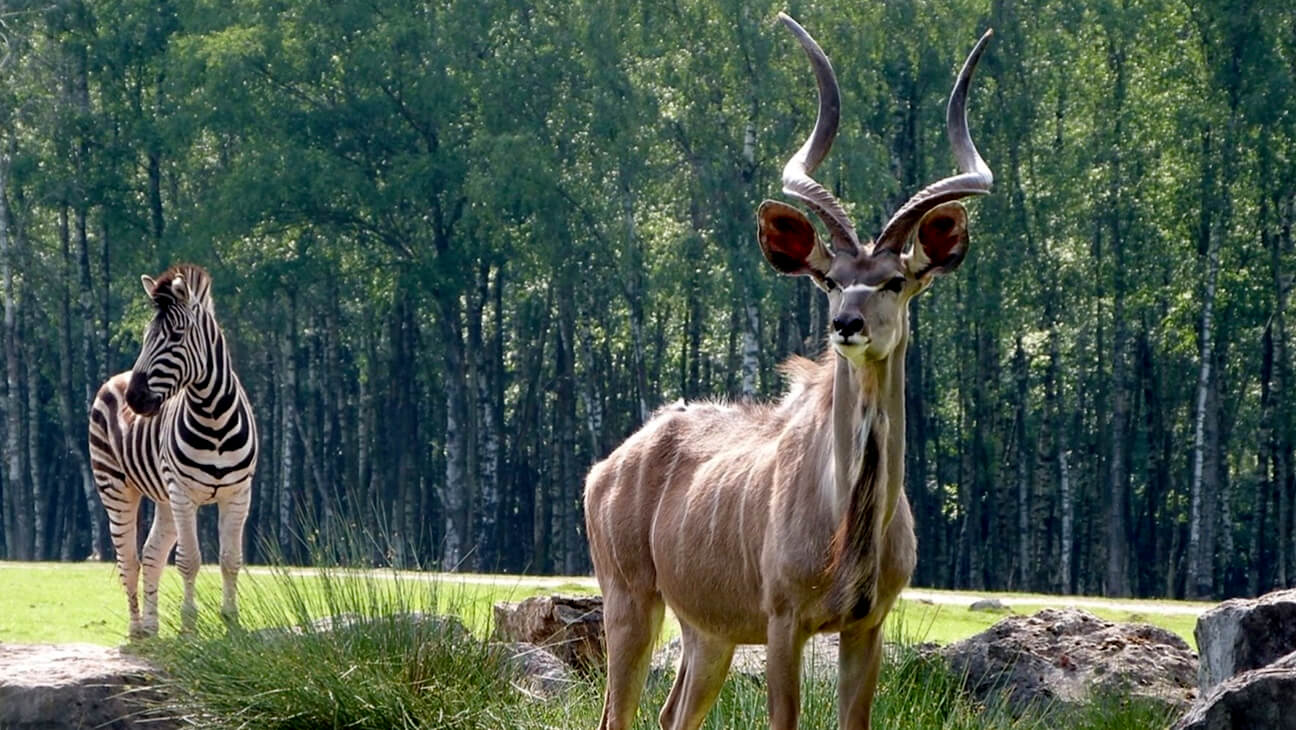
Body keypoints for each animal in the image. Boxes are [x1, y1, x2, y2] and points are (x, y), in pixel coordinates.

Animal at [88, 265, 257, 637]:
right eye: (145, 336)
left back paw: (152, 627)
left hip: (164, 498)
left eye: (176, 336)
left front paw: (231, 622)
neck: (214, 417)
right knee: (129, 560)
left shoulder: (238, 494)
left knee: (151, 555)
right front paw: (189, 627)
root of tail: (116, 378)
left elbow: (230, 560)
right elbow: (189, 561)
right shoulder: (184, 494)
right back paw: (137, 628)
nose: (135, 400)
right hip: (116, 489)